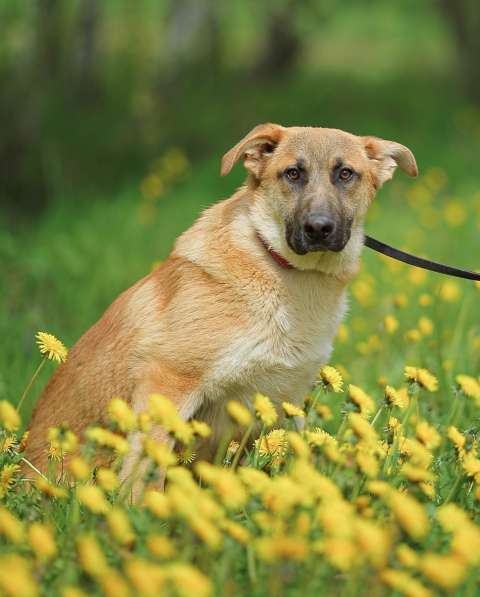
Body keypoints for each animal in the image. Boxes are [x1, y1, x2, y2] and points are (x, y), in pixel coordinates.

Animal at [25, 123, 416, 486]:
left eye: (345, 174)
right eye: (293, 173)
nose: (318, 228)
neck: (286, 270)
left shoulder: (282, 403)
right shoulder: (167, 383)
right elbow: (145, 476)